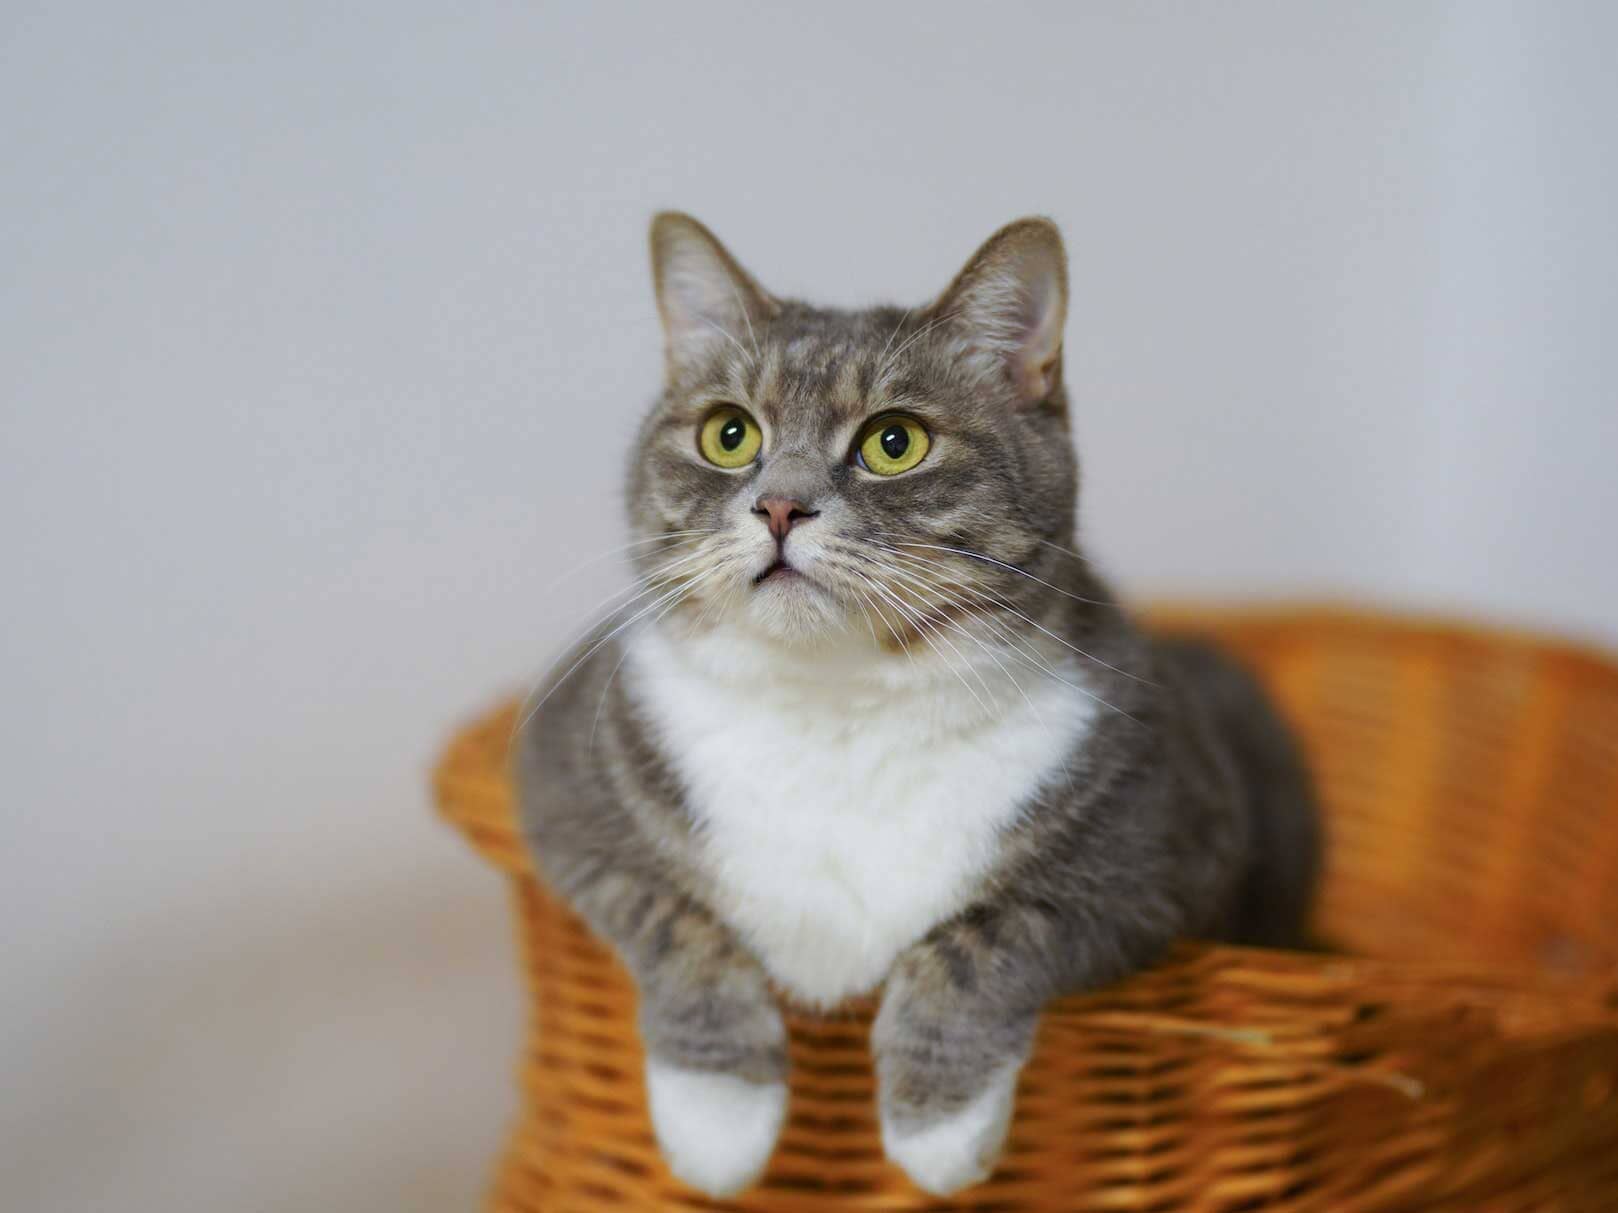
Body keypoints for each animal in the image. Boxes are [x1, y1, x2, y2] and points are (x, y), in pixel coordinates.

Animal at [511, 213, 1320, 1203]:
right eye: (728, 434)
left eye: (894, 442)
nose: (779, 505)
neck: (840, 704)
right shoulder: (564, 784)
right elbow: (673, 916)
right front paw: (718, 1116)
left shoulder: (1162, 840)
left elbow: (989, 931)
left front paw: (939, 1127)